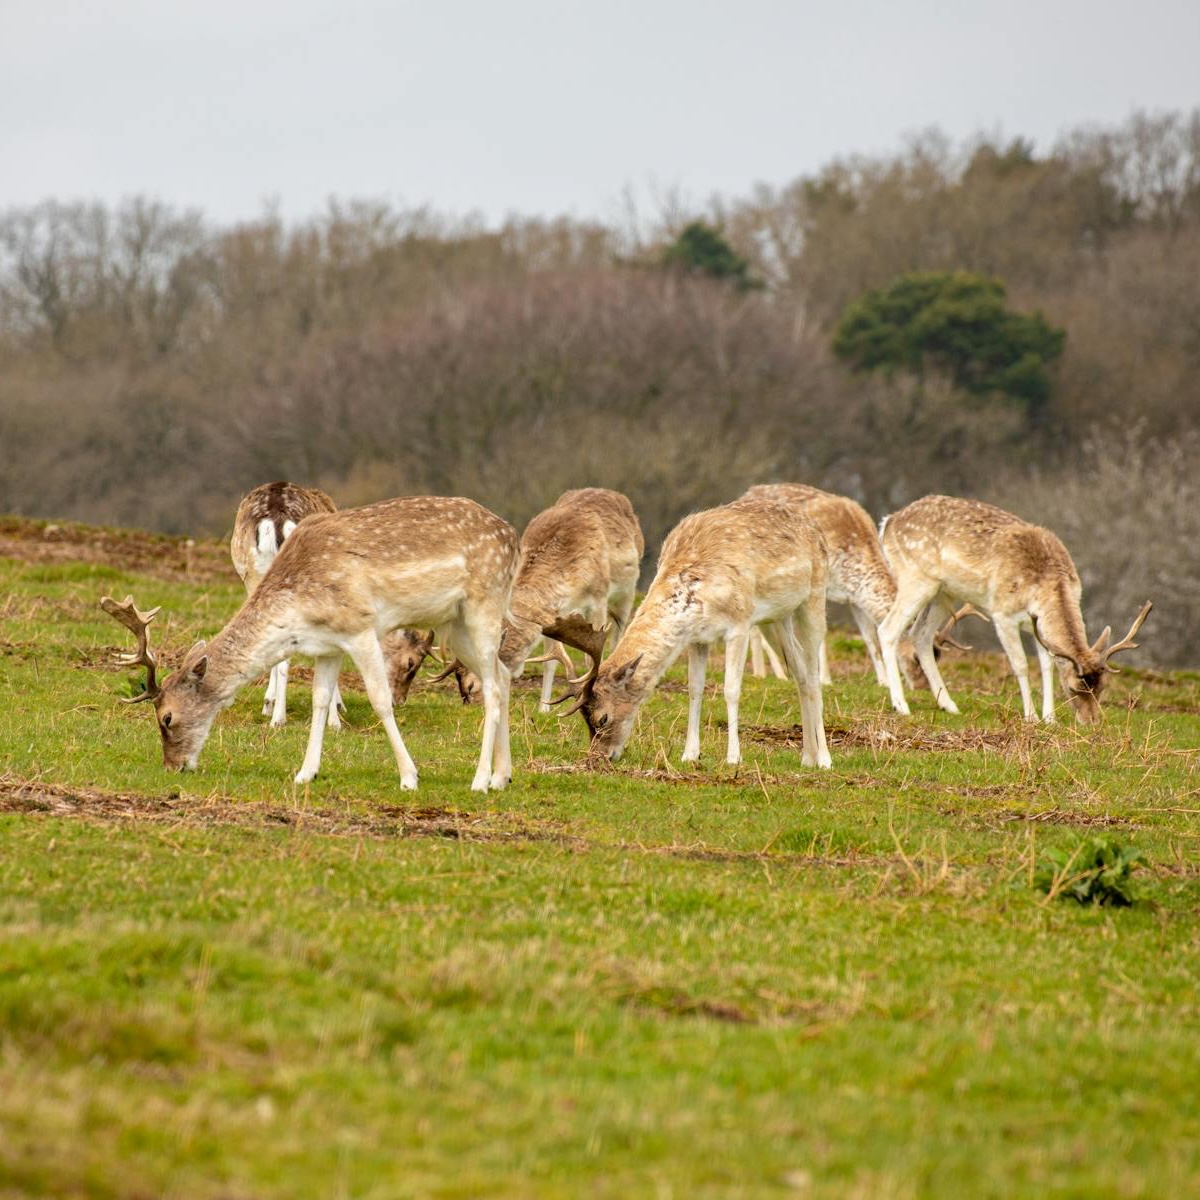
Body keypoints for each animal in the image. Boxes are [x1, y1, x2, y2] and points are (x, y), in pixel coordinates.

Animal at [558, 494, 832, 769]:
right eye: (584, 719)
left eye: (602, 718)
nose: (599, 758)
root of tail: (816, 528)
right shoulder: (697, 638)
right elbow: (694, 689)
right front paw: (690, 754)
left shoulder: (740, 623)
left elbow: (731, 689)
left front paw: (733, 757)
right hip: (777, 618)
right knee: (800, 672)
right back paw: (807, 756)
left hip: (814, 597)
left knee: (813, 673)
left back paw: (824, 758)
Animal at [876, 495, 1152, 723]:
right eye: (1074, 688)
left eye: (1102, 687)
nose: (1092, 721)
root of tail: (888, 522)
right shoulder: (1003, 615)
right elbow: (1020, 664)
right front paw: (1030, 716)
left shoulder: (1037, 626)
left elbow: (1047, 665)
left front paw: (1049, 718)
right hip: (915, 579)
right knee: (888, 630)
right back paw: (901, 705)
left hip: (944, 594)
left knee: (920, 635)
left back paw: (949, 705)